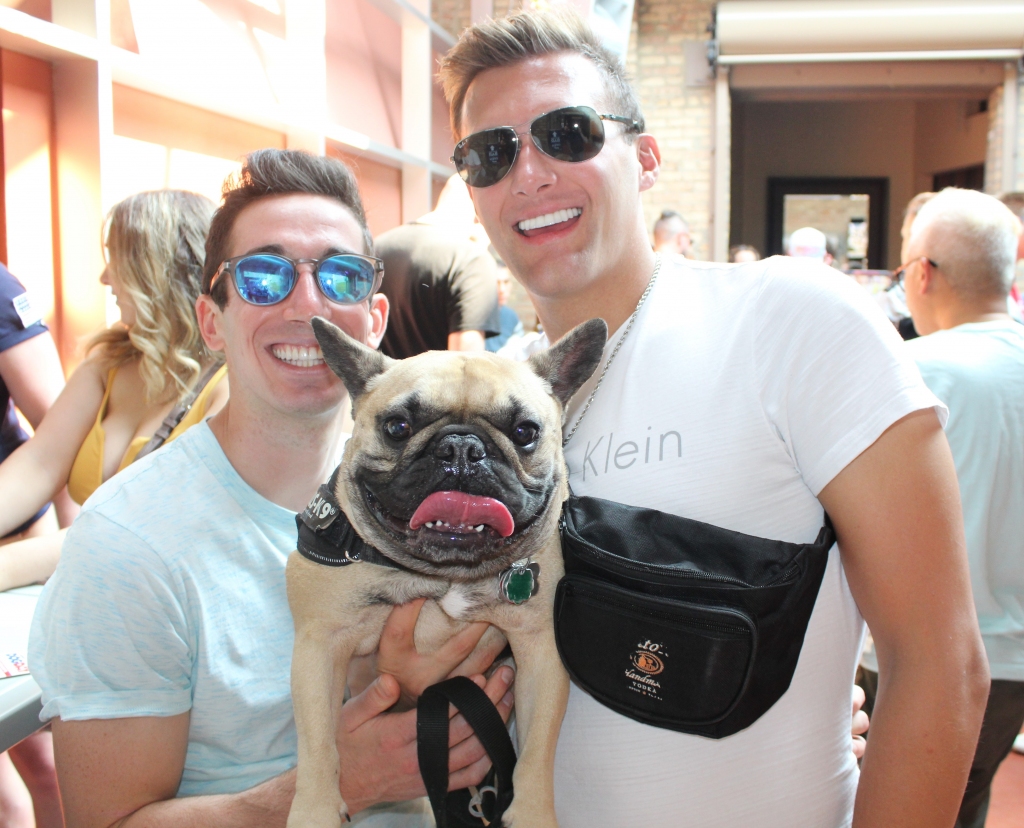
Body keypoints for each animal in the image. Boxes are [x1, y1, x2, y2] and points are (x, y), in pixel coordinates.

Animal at [285, 315, 607, 828]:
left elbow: (537, 749)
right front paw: (314, 811)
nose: (461, 446)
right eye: (397, 426)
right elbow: (317, 744)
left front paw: (532, 812)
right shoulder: (319, 644)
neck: (444, 575)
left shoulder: (539, 653)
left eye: (525, 431)